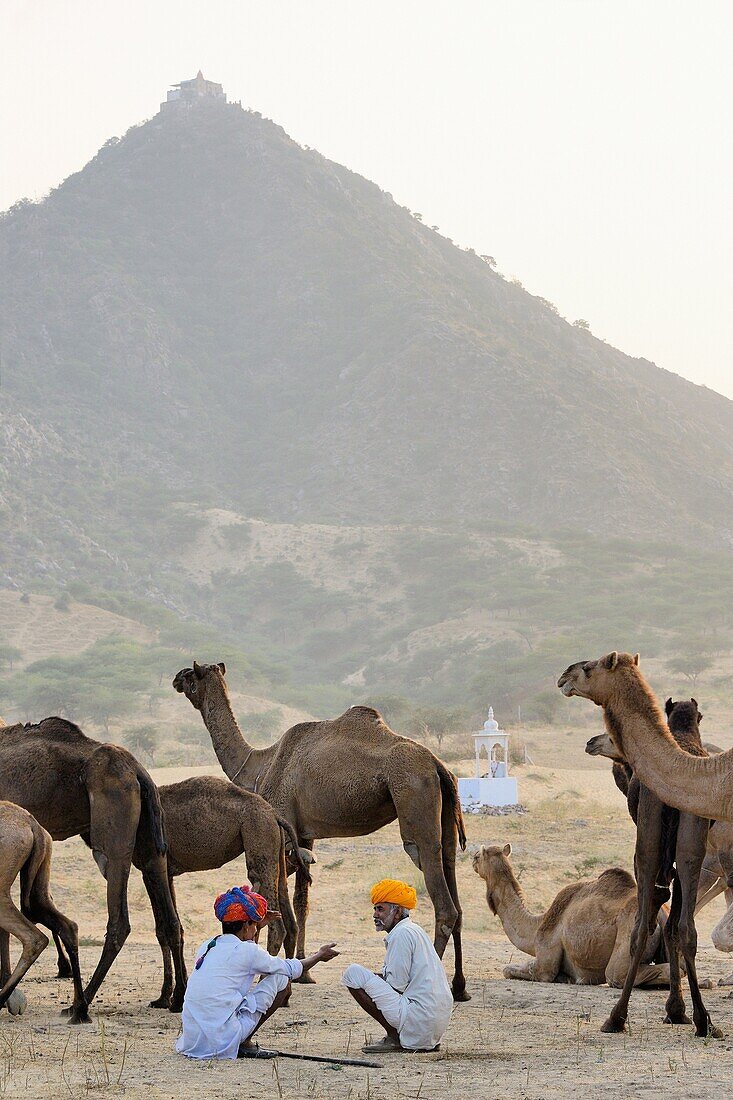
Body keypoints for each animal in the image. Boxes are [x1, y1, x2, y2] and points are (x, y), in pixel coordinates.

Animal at [171, 655, 468, 1003]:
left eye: (192, 675)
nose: (176, 678)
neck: (259, 765)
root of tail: (437, 764)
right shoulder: (304, 834)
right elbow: (302, 899)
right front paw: (303, 971)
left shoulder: (284, 826)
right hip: (445, 814)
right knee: (453, 883)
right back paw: (460, 987)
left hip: (413, 800)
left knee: (441, 899)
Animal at [471, 840, 669, 990]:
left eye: (479, 856)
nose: (472, 859)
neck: (537, 926)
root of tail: (660, 915)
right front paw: (567, 978)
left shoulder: (545, 962)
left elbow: (510, 969)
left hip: (629, 938)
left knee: (619, 974)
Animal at [585, 699, 717, 1034]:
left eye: (612, 734)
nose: (591, 742)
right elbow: (672, 923)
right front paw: (677, 1010)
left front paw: (675, 1010)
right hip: (689, 844)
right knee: (684, 926)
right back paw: (704, 1021)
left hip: (648, 838)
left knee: (643, 925)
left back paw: (616, 1017)